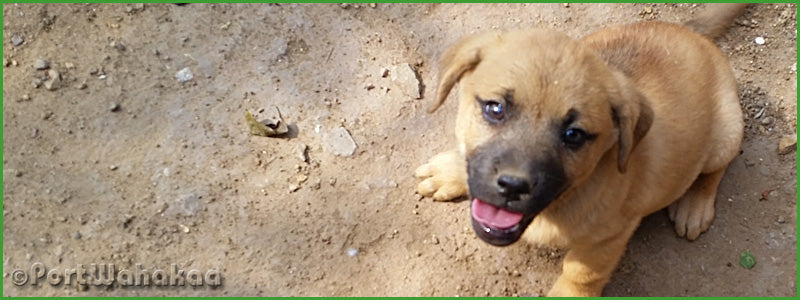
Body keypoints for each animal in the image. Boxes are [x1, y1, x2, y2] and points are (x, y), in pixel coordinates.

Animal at [416, 3, 748, 296]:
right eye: (495, 109)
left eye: (573, 135)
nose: (512, 186)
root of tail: (692, 33)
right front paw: (451, 171)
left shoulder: (608, 238)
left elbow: (582, 273)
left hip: (727, 135)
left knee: (716, 169)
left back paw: (694, 205)